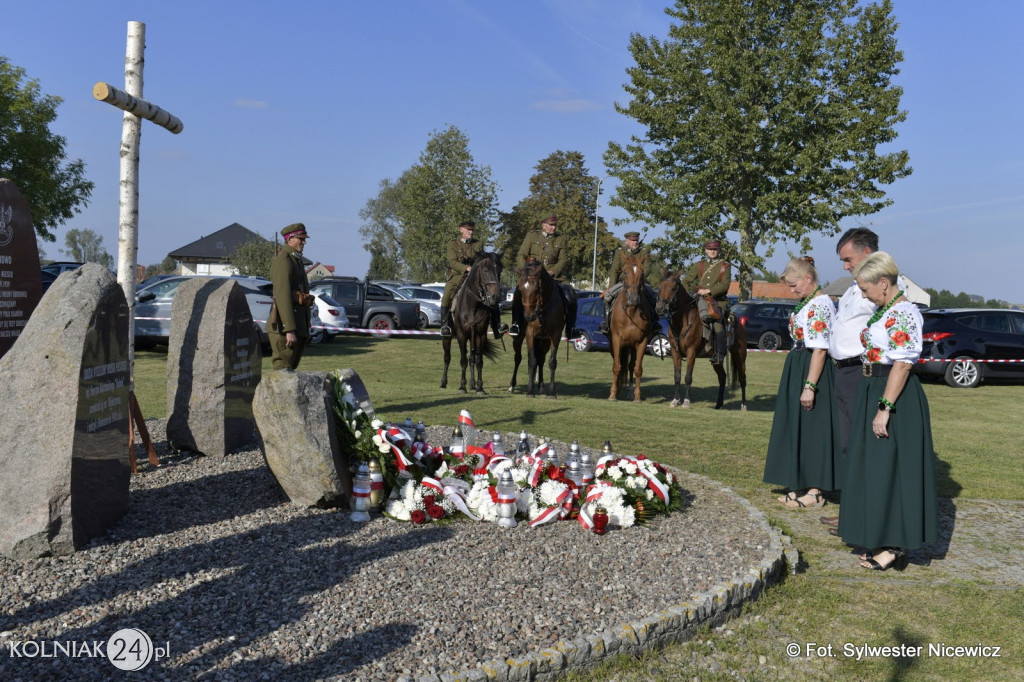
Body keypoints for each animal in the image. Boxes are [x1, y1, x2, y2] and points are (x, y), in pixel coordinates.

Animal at [440, 250, 503, 393]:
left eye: (500, 270)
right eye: (485, 270)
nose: (496, 297)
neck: (474, 305)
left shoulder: (481, 335)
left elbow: (479, 361)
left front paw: (480, 387)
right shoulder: (462, 335)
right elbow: (463, 360)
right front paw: (462, 386)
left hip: (472, 337)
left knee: (472, 359)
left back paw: (473, 384)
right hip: (448, 337)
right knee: (447, 357)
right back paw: (443, 382)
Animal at [507, 260, 573, 399]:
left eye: (537, 289)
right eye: (521, 289)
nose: (528, 316)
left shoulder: (555, 336)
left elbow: (551, 362)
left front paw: (552, 392)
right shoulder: (529, 334)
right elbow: (532, 361)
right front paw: (530, 391)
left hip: (544, 341)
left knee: (541, 359)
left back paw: (541, 386)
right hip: (520, 338)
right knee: (518, 358)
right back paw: (512, 386)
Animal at [606, 250, 655, 401]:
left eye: (642, 273)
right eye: (625, 272)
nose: (633, 298)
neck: (631, 312)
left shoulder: (642, 341)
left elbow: (637, 369)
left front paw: (637, 397)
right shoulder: (616, 340)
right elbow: (616, 367)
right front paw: (612, 394)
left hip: (632, 346)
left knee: (630, 365)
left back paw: (629, 392)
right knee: (619, 364)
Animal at [651, 270, 749, 409]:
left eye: (673, 288)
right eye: (659, 287)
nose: (659, 308)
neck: (682, 323)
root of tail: (738, 322)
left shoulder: (691, 352)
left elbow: (688, 377)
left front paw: (686, 402)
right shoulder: (675, 353)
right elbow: (677, 377)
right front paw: (675, 400)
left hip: (739, 355)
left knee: (742, 379)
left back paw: (744, 405)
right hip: (717, 360)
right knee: (722, 377)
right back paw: (719, 404)